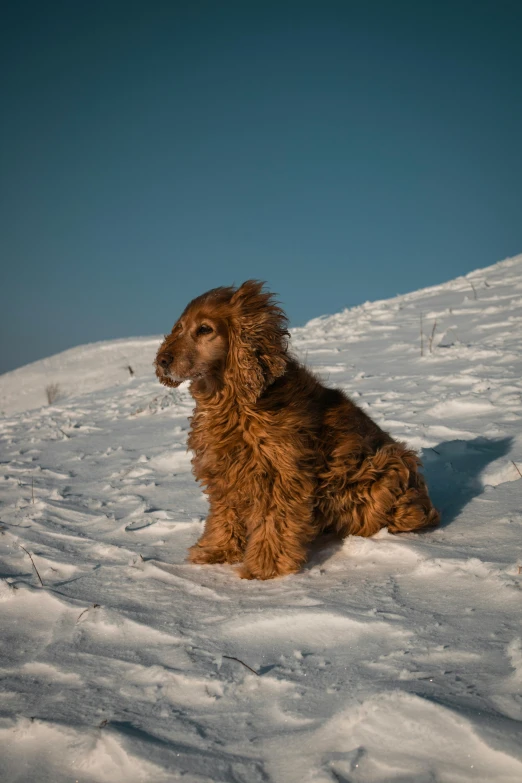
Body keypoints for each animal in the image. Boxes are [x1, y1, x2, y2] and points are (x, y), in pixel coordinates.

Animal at [155, 278, 438, 580]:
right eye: (179, 327)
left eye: (205, 329)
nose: (162, 360)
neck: (234, 401)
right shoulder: (225, 472)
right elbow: (224, 516)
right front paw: (216, 552)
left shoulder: (280, 473)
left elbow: (275, 523)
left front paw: (264, 569)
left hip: (387, 464)